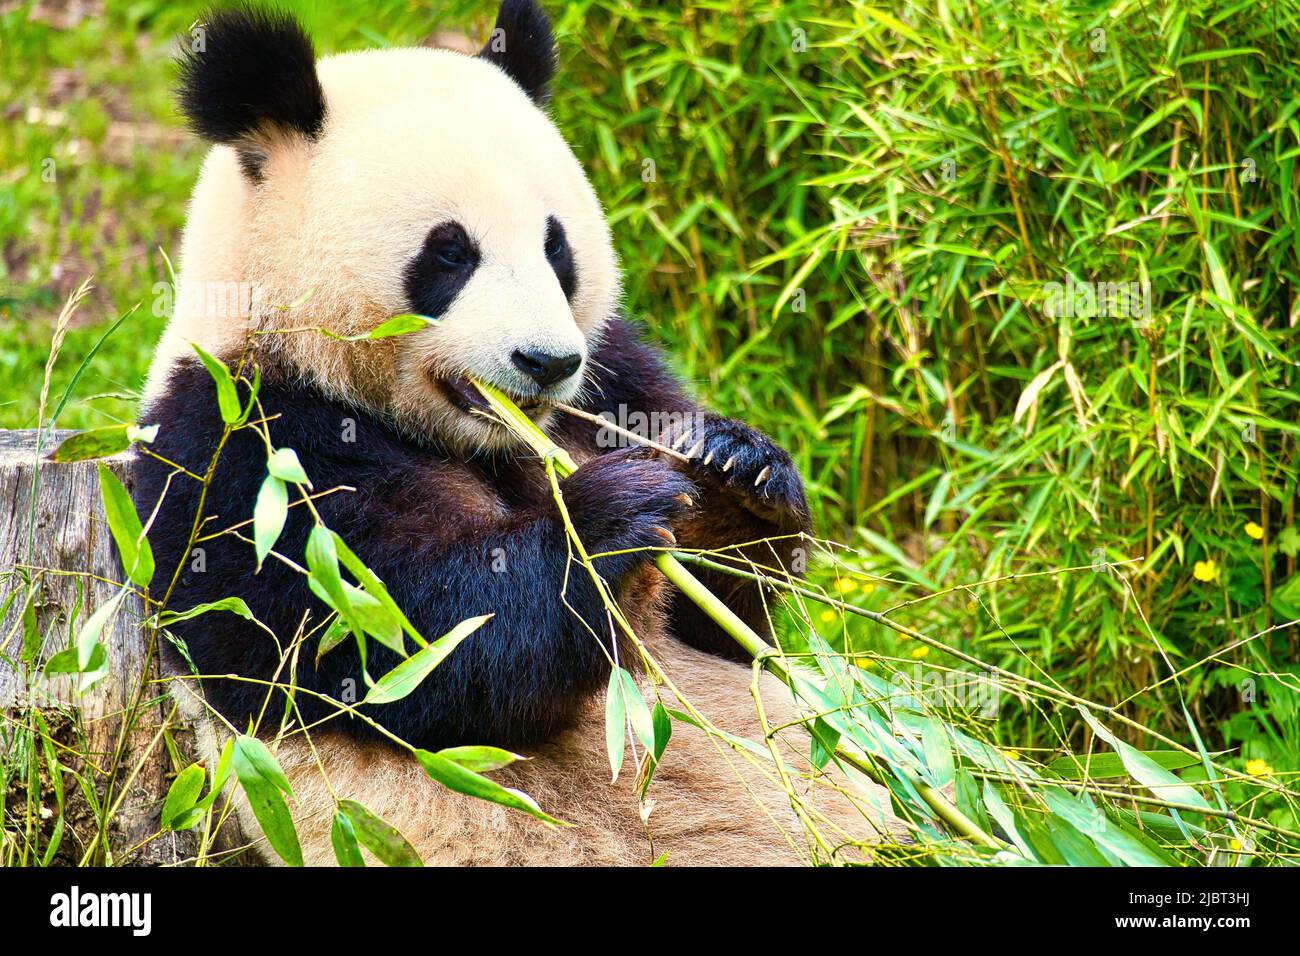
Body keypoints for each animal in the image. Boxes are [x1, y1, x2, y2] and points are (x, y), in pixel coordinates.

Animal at [131, 1, 904, 868]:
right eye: (450, 252)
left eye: (555, 244)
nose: (546, 361)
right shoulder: (240, 445)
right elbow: (402, 642)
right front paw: (611, 522)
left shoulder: (613, 376)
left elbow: (728, 628)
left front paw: (734, 473)